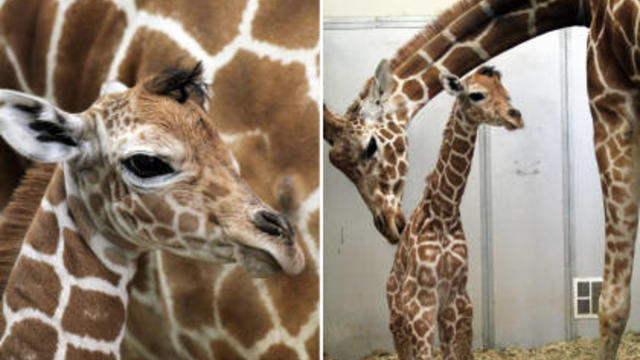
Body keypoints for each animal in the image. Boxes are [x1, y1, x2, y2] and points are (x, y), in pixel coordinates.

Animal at [384, 65, 524, 360]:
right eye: (476, 94)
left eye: (507, 94)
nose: (515, 116)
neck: (444, 212)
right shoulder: (420, 304)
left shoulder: (456, 298)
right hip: (397, 315)